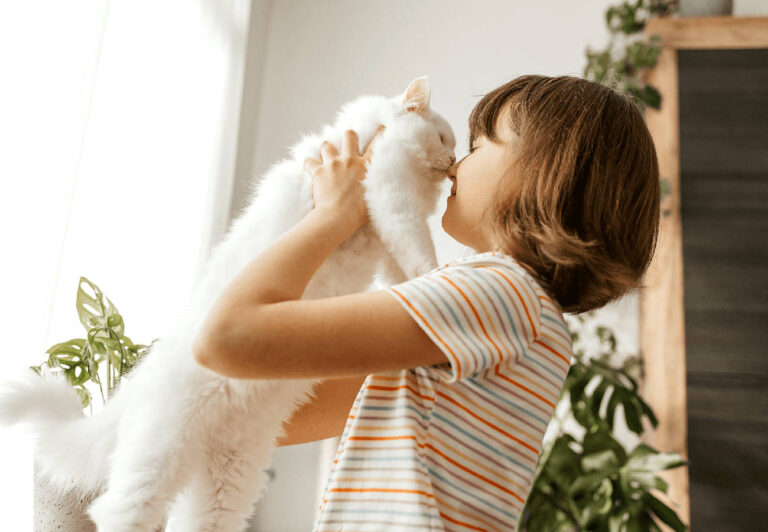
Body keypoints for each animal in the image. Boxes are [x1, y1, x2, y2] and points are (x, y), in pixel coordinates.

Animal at [0, 76, 456, 532]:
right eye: (443, 137)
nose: (454, 161)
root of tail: (130, 388)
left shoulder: (384, 234)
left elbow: (399, 274)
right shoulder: (388, 190)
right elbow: (415, 246)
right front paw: (439, 271)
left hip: (226, 479)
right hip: (162, 456)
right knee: (116, 511)